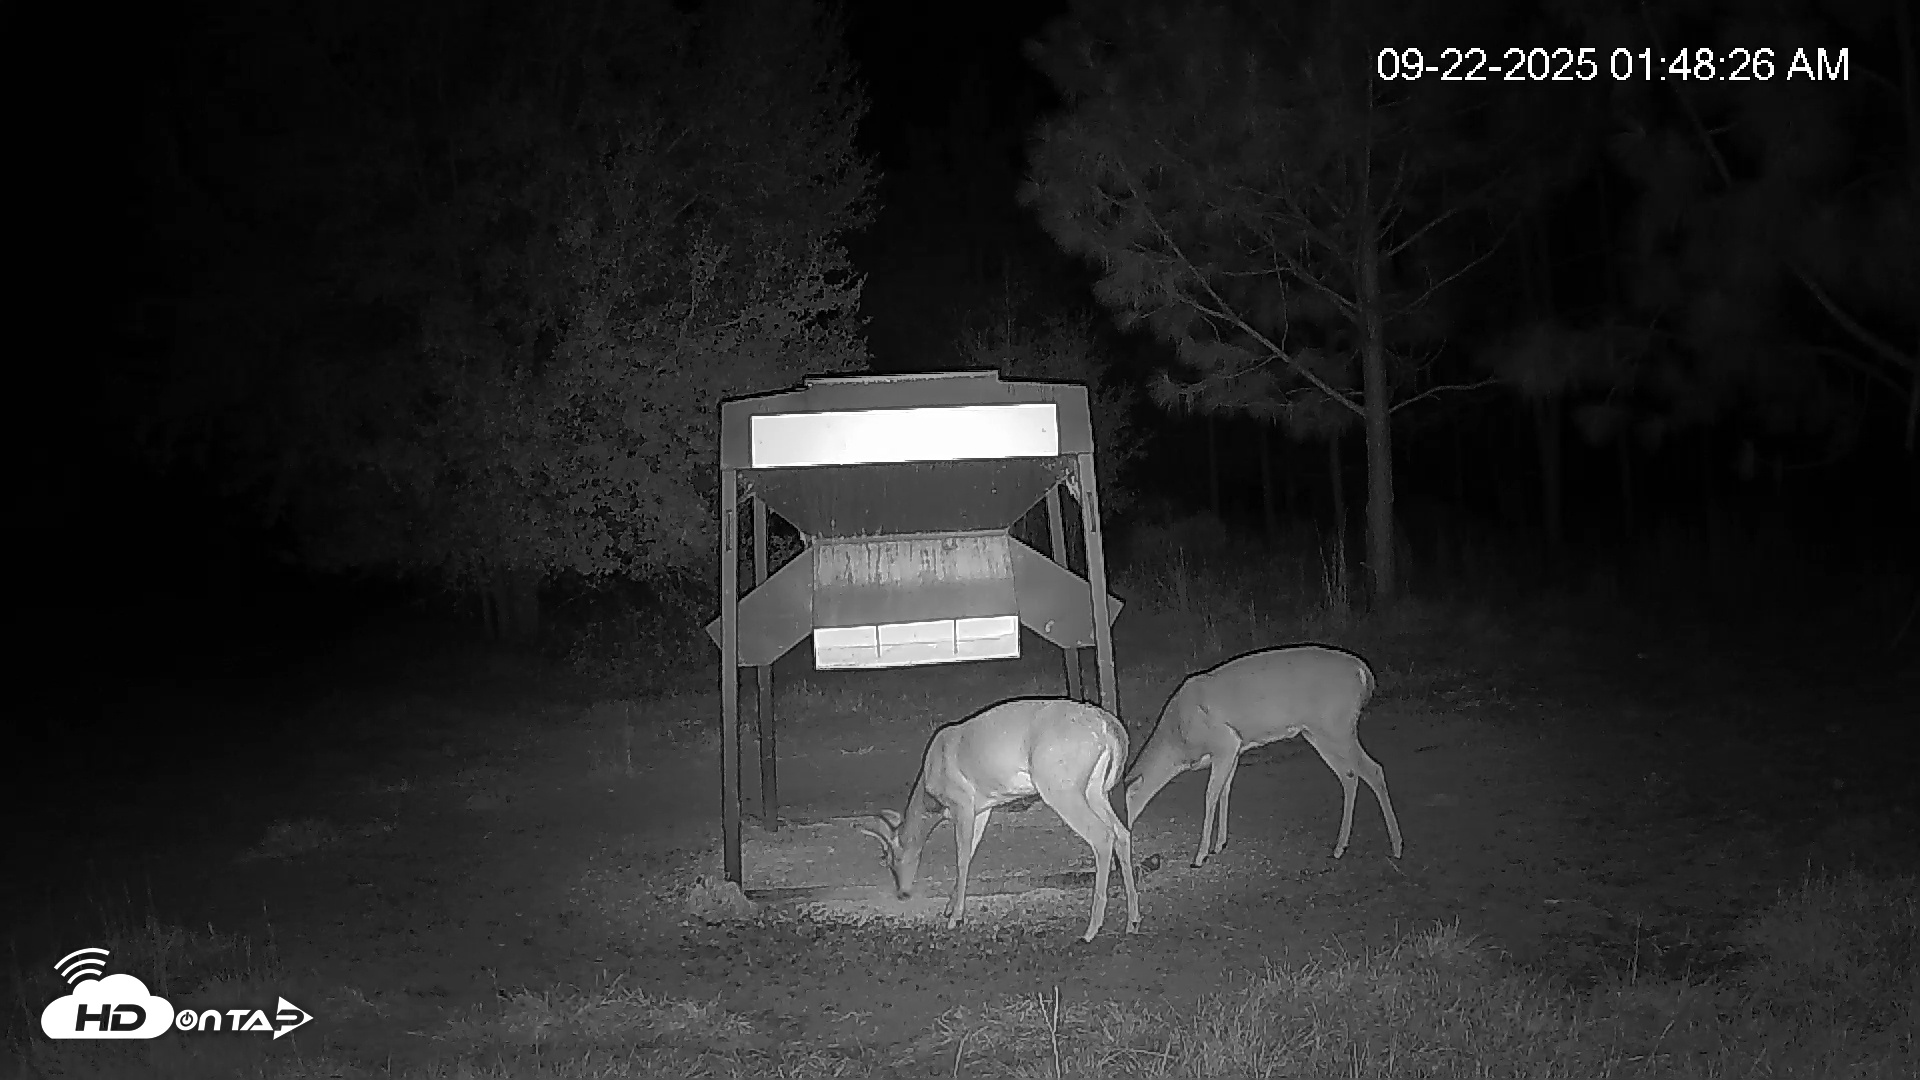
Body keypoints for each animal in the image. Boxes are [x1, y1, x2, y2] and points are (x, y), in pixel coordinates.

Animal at [857, 698, 1142, 942]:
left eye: (888, 858)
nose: (902, 893)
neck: (931, 788)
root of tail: (1109, 727)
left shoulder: (963, 803)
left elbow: (961, 858)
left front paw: (955, 917)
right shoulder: (983, 809)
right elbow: (970, 852)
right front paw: (950, 907)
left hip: (1060, 786)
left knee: (1102, 835)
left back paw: (1091, 929)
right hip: (1095, 788)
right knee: (1121, 832)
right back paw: (1133, 920)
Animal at [1123, 645, 1404, 867]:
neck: (1178, 738)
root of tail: (1362, 670)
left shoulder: (1224, 742)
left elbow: (1211, 795)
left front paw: (1200, 856)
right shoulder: (1235, 749)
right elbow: (1225, 791)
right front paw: (1219, 844)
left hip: (1337, 726)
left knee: (1373, 769)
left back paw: (1397, 846)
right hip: (1318, 732)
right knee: (1349, 775)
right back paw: (1339, 847)